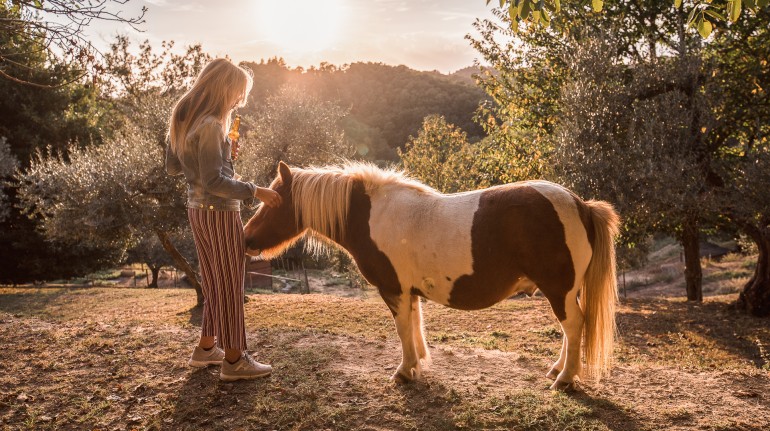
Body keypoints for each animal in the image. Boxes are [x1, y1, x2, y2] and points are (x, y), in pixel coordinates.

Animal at [244, 161, 616, 392]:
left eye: (272, 203)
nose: (246, 239)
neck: (372, 216)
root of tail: (580, 205)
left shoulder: (393, 289)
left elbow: (403, 329)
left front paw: (404, 372)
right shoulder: (409, 291)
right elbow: (414, 326)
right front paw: (417, 364)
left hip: (559, 289)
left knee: (574, 326)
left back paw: (565, 379)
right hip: (563, 290)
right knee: (571, 330)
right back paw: (558, 369)